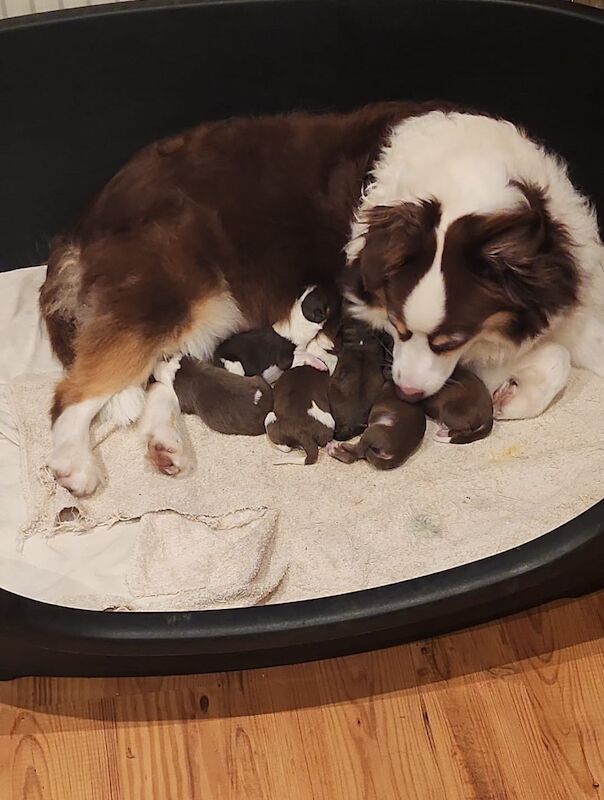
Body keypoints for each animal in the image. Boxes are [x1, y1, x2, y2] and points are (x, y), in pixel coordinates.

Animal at [41, 103, 604, 496]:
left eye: (449, 339)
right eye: (398, 326)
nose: (406, 394)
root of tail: (81, 221)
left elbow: (559, 351)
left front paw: (515, 394)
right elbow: (553, 356)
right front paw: (512, 396)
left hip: (209, 312)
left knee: (168, 374)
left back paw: (166, 447)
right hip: (174, 295)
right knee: (75, 392)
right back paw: (75, 465)